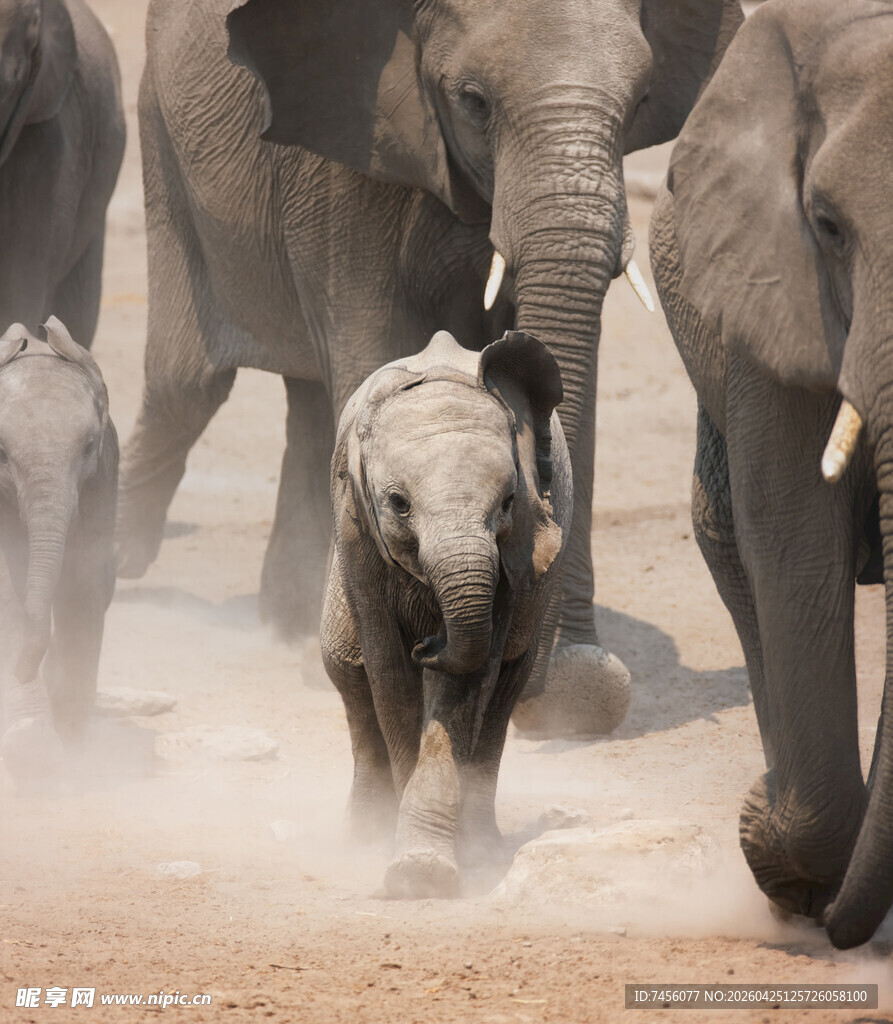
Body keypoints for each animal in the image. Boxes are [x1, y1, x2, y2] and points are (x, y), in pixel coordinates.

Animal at [0, 318, 118, 782]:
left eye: (88, 446)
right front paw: (34, 751)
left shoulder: (102, 477)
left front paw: (74, 744)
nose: (21, 668)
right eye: (1, 453)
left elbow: (88, 579)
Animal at [114, 0, 742, 739]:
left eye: (641, 99)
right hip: (160, 136)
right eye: (473, 101)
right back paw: (119, 573)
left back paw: (286, 626)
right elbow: (376, 348)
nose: (565, 692)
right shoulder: (343, 156)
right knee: (187, 386)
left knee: (304, 403)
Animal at [320, 329, 570, 898]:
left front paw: (423, 873)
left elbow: (464, 686)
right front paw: (409, 865)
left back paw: (484, 848)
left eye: (508, 502)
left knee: (503, 693)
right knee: (347, 673)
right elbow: (390, 677)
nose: (429, 643)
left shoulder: (512, 555)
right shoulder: (356, 528)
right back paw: (361, 839)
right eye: (398, 503)